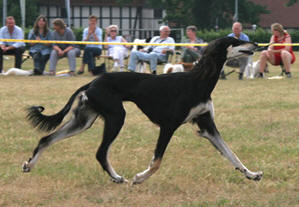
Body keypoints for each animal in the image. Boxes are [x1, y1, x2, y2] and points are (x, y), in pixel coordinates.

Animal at [22, 37, 262, 184]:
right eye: (235, 41)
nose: (256, 44)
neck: (198, 81)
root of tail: (92, 82)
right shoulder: (169, 126)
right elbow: (156, 162)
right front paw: (139, 178)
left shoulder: (207, 125)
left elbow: (231, 154)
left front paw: (251, 174)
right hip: (116, 116)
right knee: (100, 152)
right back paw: (117, 178)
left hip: (84, 120)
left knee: (46, 139)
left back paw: (29, 165)